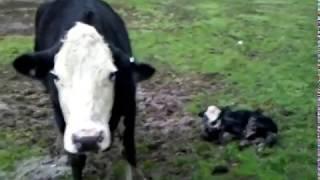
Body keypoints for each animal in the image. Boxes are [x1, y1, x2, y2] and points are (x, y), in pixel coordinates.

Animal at [10, 0, 155, 179]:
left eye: (112, 74)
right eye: (56, 76)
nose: (88, 140)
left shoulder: (129, 103)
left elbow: (128, 149)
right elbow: (76, 159)